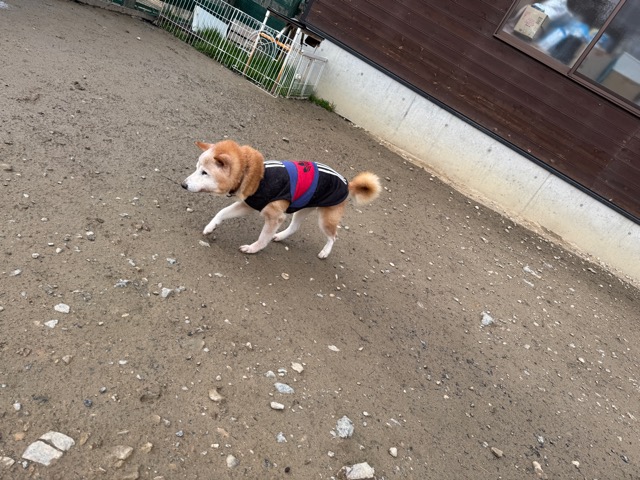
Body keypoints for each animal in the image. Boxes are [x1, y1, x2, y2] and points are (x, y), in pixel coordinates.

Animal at [181, 139, 381, 258]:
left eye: (204, 172)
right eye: (196, 168)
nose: (183, 185)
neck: (257, 176)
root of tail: (348, 184)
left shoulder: (274, 216)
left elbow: (263, 237)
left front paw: (253, 248)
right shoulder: (249, 205)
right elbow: (222, 212)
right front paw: (210, 227)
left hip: (326, 219)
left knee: (333, 236)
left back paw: (325, 252)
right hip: (304, 208)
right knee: (294, 227)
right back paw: (280, 236)